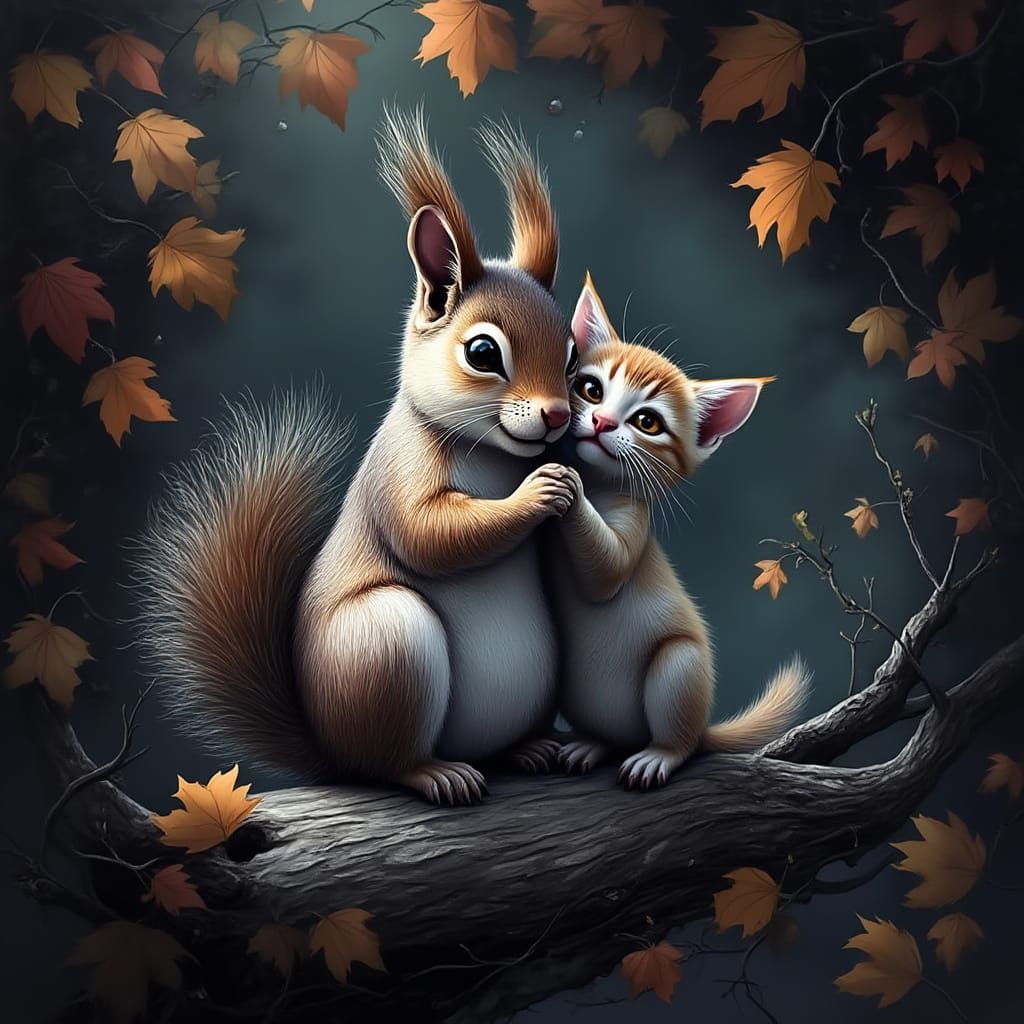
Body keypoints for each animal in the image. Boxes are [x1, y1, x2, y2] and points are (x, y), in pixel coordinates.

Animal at [135, 110, 580, 804]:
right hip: (389, 645)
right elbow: (430, 533)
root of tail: (329, 750)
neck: (495, 456)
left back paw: (526, 749)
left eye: (571, 353)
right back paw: (435, 772)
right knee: (387, 762)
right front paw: (541, 492)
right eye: (482, 353)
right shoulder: (399, 471)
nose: (559, 416)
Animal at [547, 274, 810, 790]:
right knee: (611, 737)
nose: (601, 422)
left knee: (676, 737)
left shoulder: (634, 523)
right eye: (590, 389)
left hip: (680, 667)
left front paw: (565, 483)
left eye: (647, 422)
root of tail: (703, 725)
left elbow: (605, 571)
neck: (600, 482)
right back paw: (592, 744)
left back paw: (659, 754)